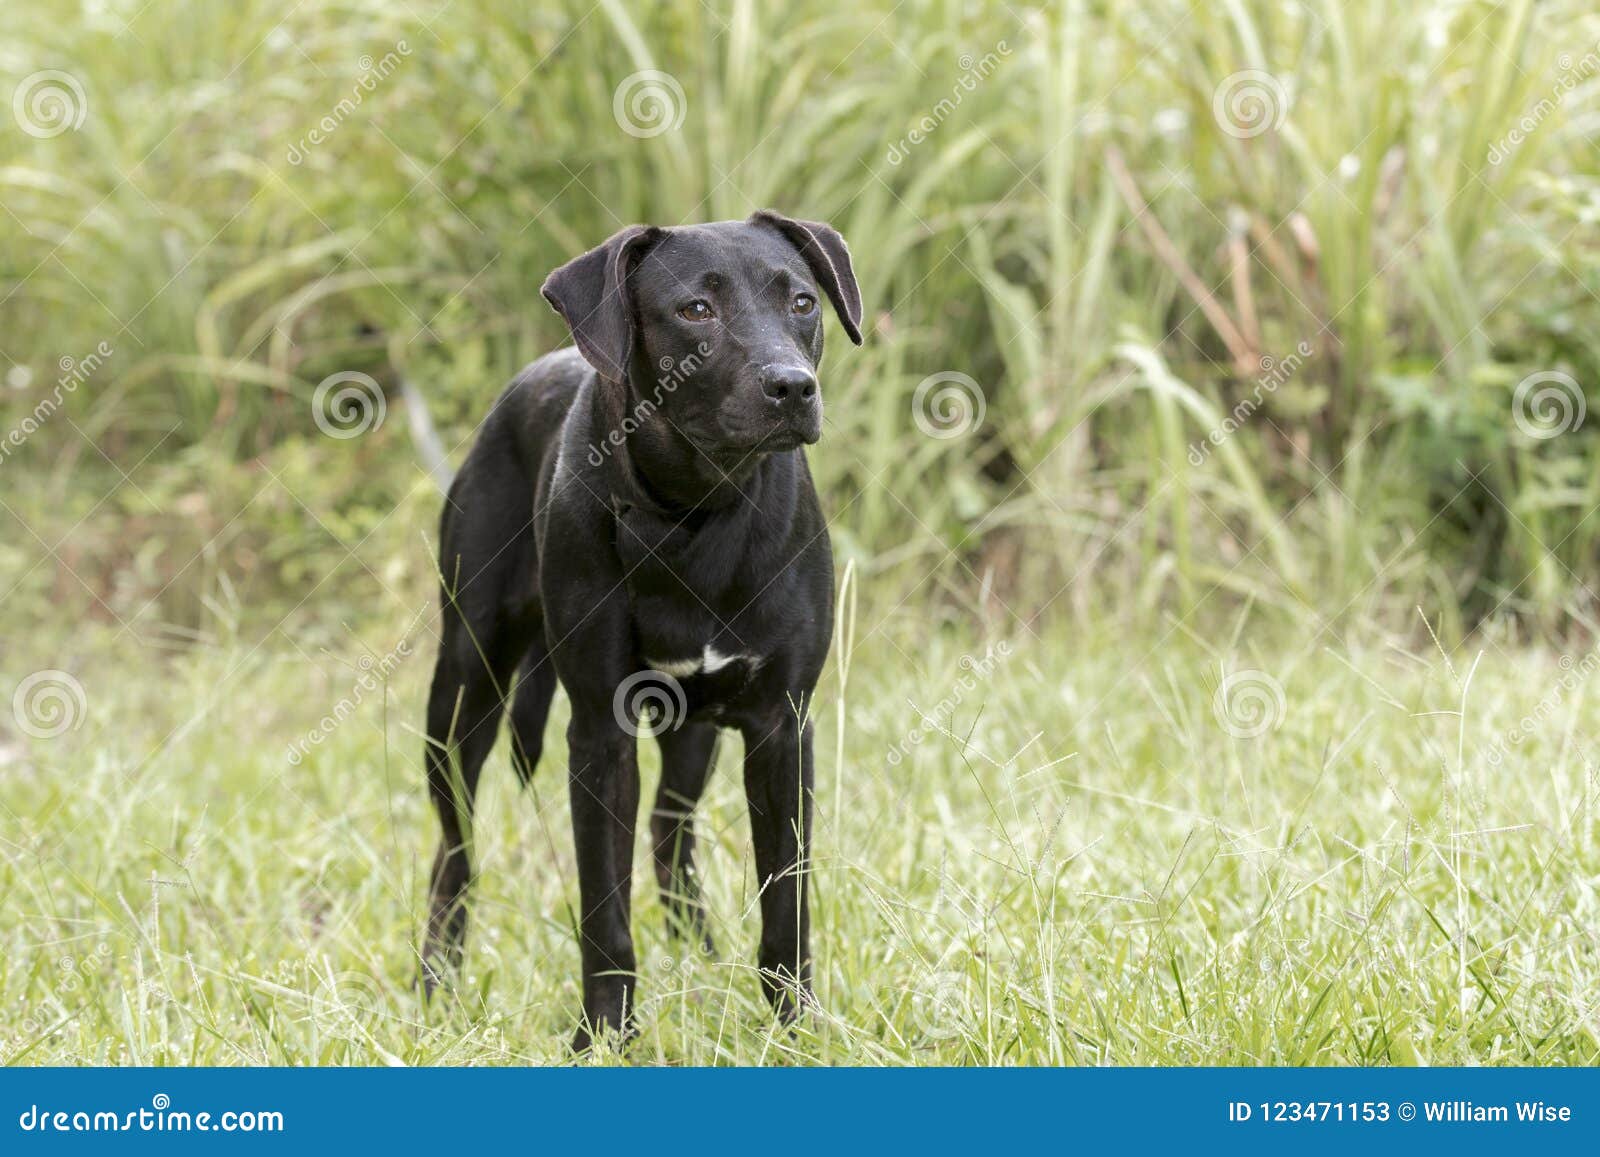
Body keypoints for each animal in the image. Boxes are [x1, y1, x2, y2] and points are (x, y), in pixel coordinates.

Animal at [419, 208, 857, 1049]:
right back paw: (435, 983)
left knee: (668, 833)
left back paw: (700, 955)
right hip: (462, 691)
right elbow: (604, 911)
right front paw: (604, 1037)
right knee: (454, 852)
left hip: (693, 733)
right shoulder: (599, 732)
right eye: (695, 310)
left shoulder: (781, 726)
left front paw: (794, 1027)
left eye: (802, 301)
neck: (695, 510)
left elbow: (786, 901)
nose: (793, 385)